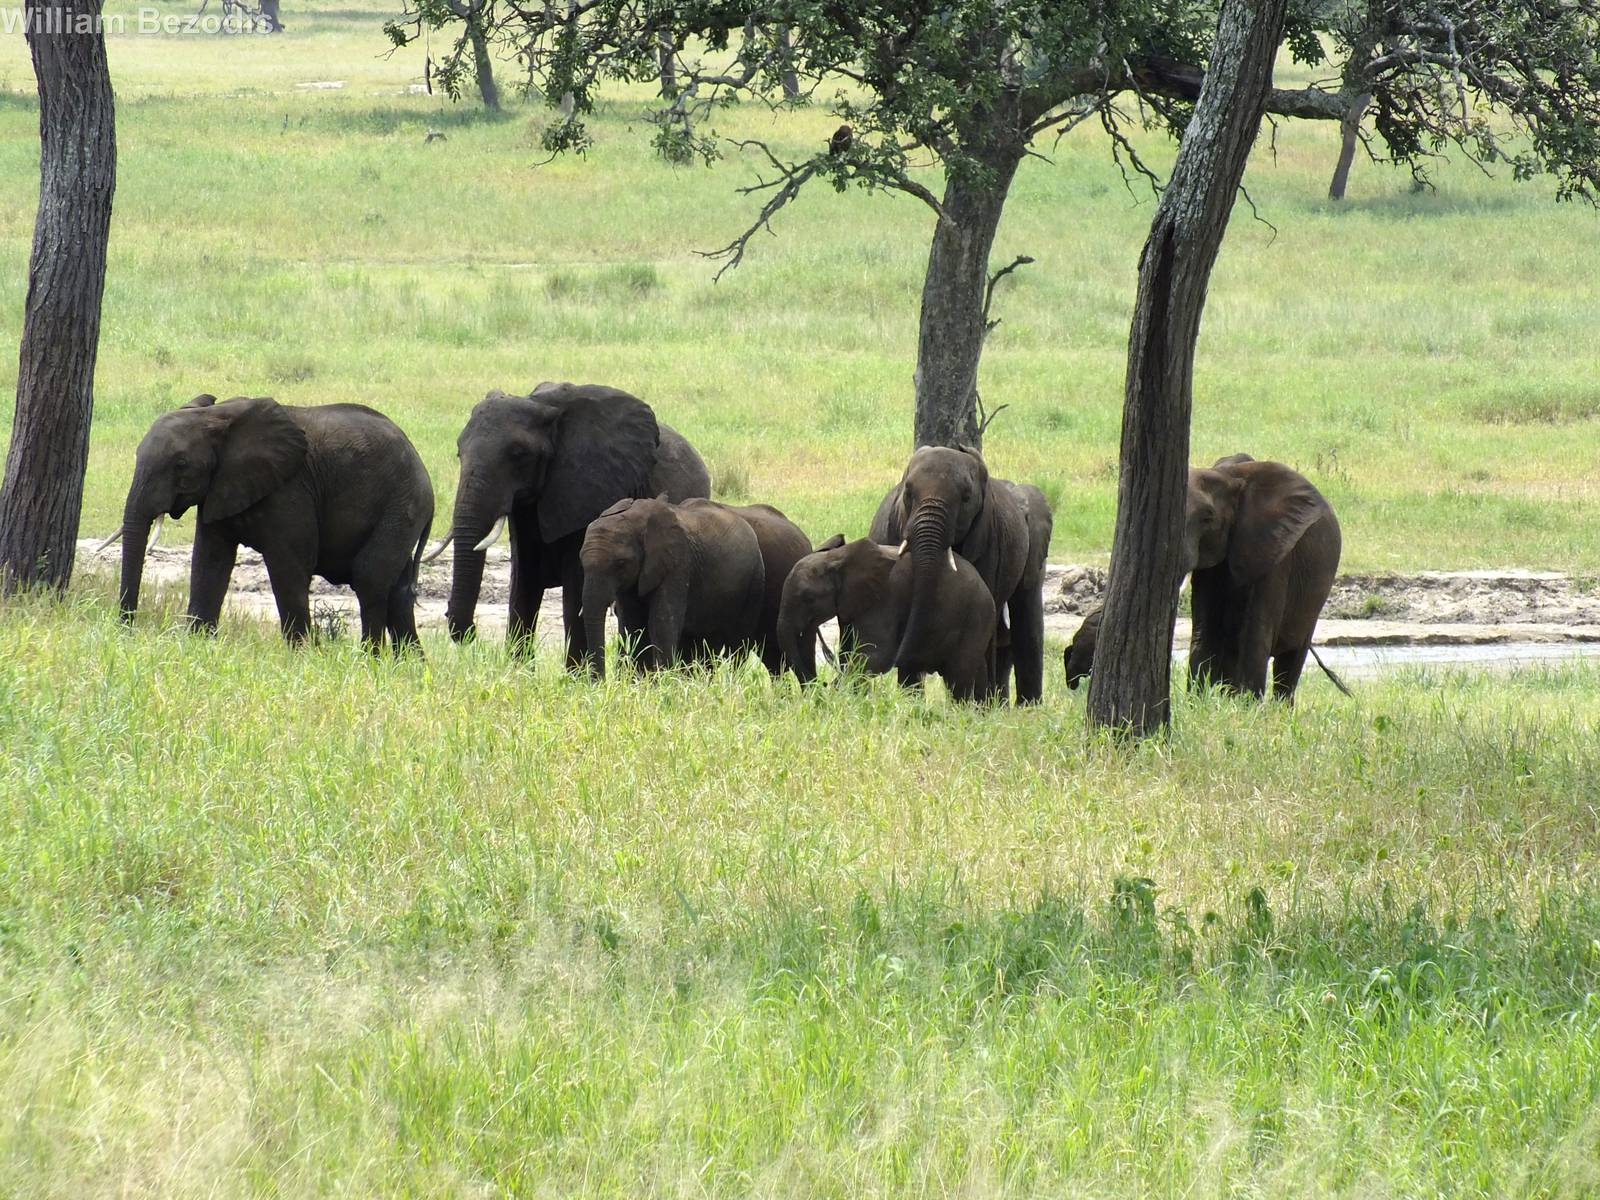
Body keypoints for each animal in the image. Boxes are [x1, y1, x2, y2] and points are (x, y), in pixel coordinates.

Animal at [105, 394, 434, 651]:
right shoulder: (220, 487)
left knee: (369, 578)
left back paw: (369, 660)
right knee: (398, 590)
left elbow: (289, 566)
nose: (127, 631)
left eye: (181, 464)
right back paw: (410, 667)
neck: (215, 416)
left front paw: (304, 655)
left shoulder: (290, 489)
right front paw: (198, 645)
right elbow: (209, 561)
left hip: (402, 503)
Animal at [435, 382, 710, 664]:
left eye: (519, 454)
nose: (471, 633)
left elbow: (575, 586)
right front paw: (517, 667)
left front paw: (576, 672)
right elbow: (524, 578)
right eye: (459, 451)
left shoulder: (587, 489)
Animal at [577, 496, 765, 676]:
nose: (599, 682)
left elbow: (662, 624)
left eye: (621, 563)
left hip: (754, 582)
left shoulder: (678, 563)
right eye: (581, 561)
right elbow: (632, 625)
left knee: (737, 646)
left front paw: (663, 680)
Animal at [776, 535, 995, 701]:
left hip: (975, 618)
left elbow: (874, 656)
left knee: (959, 677)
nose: (821, 684)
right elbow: (850, 654)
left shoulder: (886, 599)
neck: (836, 558)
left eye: (808, 598)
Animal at [870, 446, 1052, 704]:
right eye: (908, 493)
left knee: (1026, 620)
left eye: (966, 498)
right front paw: (911, 703)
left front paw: (976, 704)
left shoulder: (989, 540)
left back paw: (1022, 707)